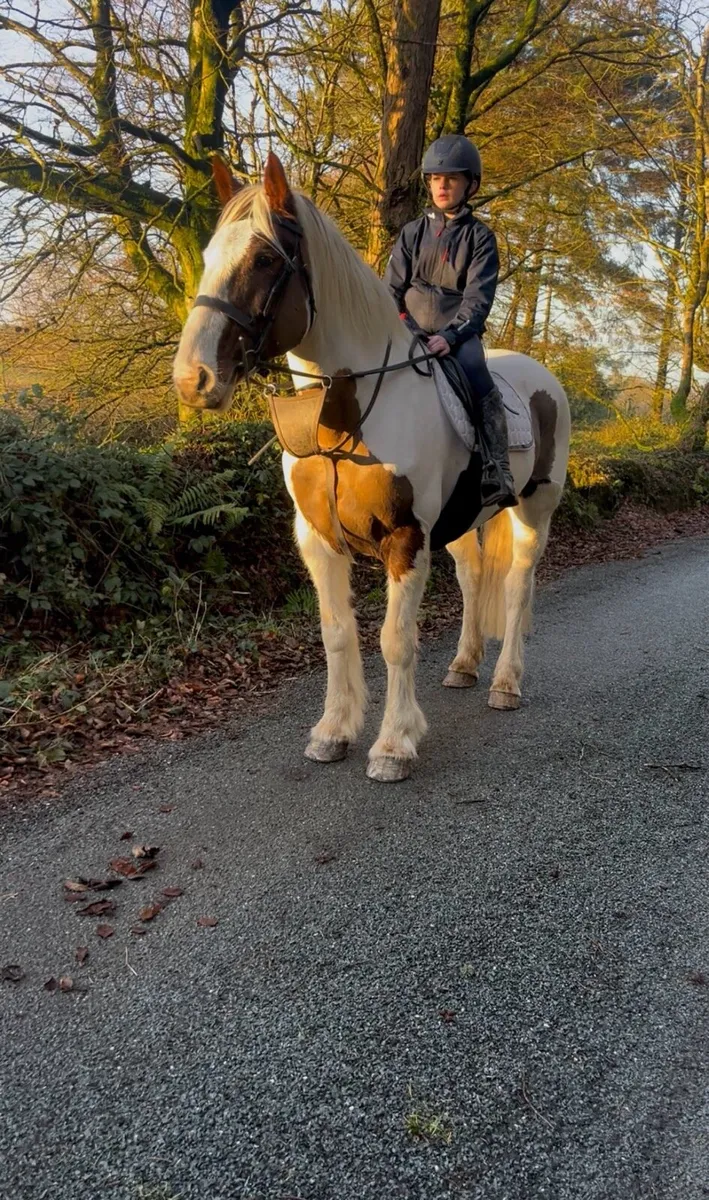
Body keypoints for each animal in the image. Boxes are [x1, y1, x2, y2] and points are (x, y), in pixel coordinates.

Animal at [173, 153, 570, 783]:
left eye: (264, 259)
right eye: (209, 256)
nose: (193, 380)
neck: (345, 416)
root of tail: (542, 377)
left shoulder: (405, 540)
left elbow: (395, 640)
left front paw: (392, 745)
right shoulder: (318, 539)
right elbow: (337, 633)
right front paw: (333, 731)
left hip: (535, 510)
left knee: (515, 586)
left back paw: (506, 683)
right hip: (459, 526)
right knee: (472, 577)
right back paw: (464, 665)